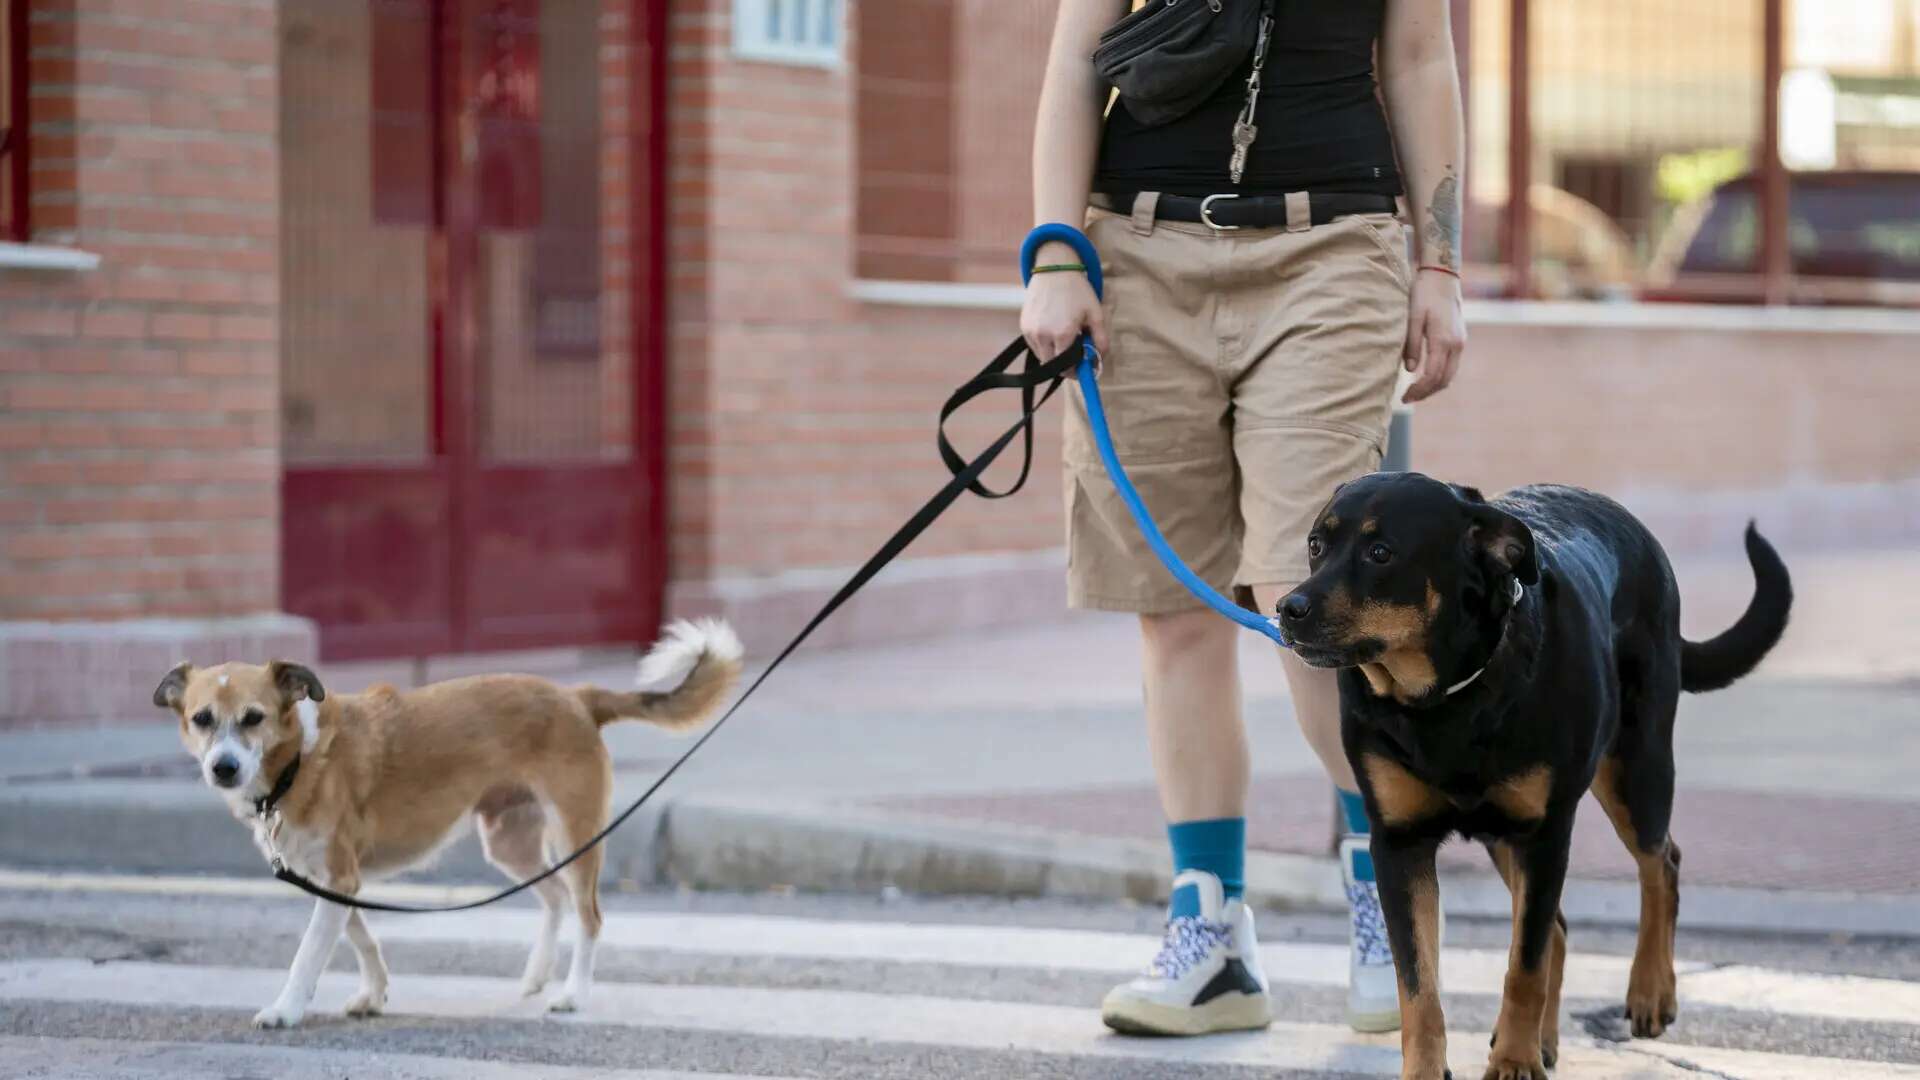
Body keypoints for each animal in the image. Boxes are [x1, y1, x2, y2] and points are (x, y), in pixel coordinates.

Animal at [153, 618, 741, 1022]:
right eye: (202, 719)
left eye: (252, 718)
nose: (223, 767)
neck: (300, 759)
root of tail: (576, 697)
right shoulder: (334, 882)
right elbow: (361, 937)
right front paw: (374, 992)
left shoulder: (338, 877)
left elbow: (308, 955)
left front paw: (286, 1009)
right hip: (509, 841)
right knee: (553, 898)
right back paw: (537, 977)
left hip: (577, 834)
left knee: (588, 914)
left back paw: (573, 994)